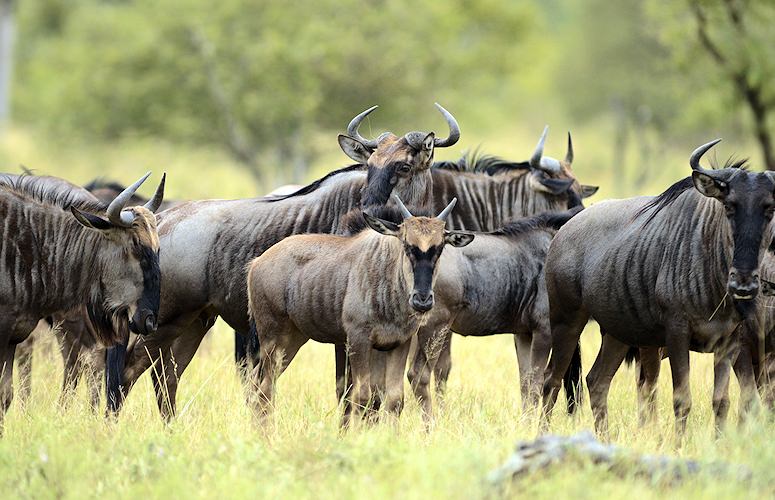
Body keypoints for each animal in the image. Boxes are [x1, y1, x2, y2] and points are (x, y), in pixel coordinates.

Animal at [249, 195, 472, 426]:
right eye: (407, 245)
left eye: (439, 248)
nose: (423, 300)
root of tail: (257, 263)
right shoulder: (358, 340)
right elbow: (362, 397)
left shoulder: (398, 343)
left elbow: (394, 398)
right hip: (273, 339)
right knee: (264, 390)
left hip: (292, 340)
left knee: (257, 384)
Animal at [544, 139, 775, 440]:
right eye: (730, 207)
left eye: (769, 210)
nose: (743, 284)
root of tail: (564, 231)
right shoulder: (677, 333)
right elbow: (682, 399)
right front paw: (678, 445)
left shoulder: (729, 342)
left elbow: (721, 401)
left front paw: (720, 443)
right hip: (567, 322)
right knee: (551, 380)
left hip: (618, 333)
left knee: (597, 381)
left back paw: (605, 438)